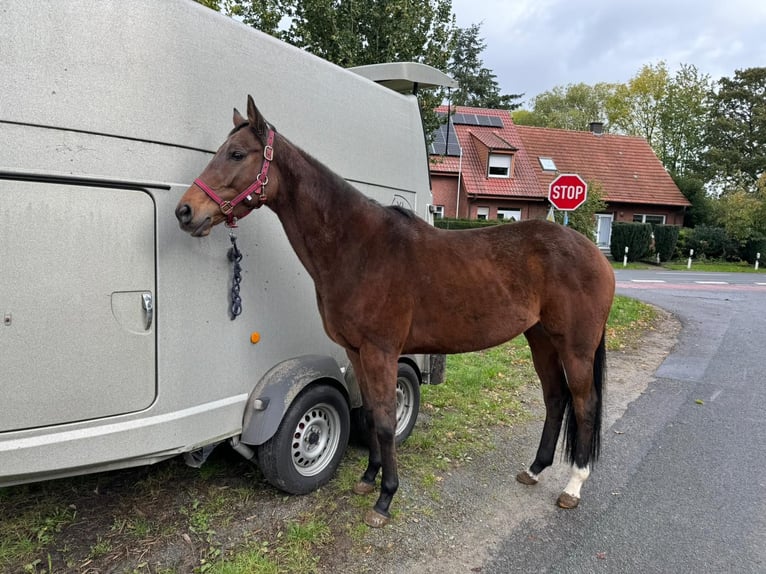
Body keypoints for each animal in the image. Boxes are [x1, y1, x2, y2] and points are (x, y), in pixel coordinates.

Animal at [176, 95, 616, 532]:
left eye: (236, 153)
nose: (185, 211)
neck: (359, 248)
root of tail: (595, 254)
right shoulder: (356, 352)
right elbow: (371, 415)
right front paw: (368, 478)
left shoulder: (381, 351)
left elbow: (387, 422)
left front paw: (385, 498)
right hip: (540, 338)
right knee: (555, 398)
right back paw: (535, 469)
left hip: (575, 347)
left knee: (584, 403)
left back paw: (573, 486)